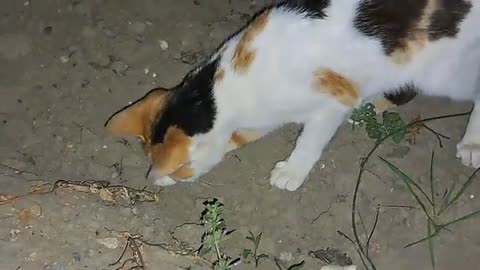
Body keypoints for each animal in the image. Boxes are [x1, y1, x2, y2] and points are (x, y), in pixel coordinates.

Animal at [107, 0, 480, 191]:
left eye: (182, 167)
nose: (155, 180)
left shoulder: (333, 102)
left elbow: (310, 140)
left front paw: (292, 172)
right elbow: (239, 136)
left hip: (447, 71)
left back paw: (471, 144)